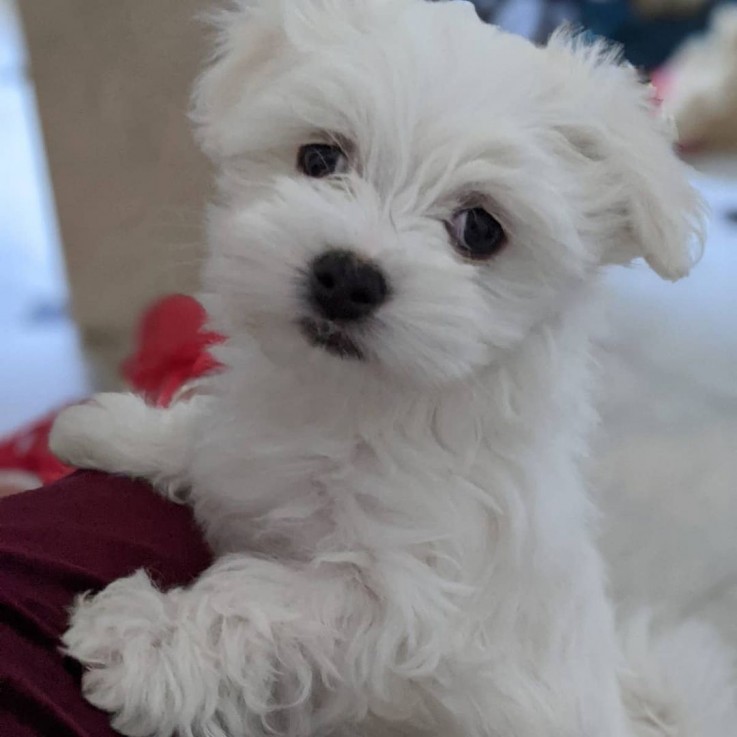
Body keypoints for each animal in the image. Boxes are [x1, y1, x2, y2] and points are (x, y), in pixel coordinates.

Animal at [51, 1, 736, 736]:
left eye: (480, 229)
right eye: (320, 157)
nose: (347, 277)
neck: (357, 399)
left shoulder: (406, 604)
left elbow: (261, 595)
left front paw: (142, 639)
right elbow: (210, 444)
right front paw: (114, 430)